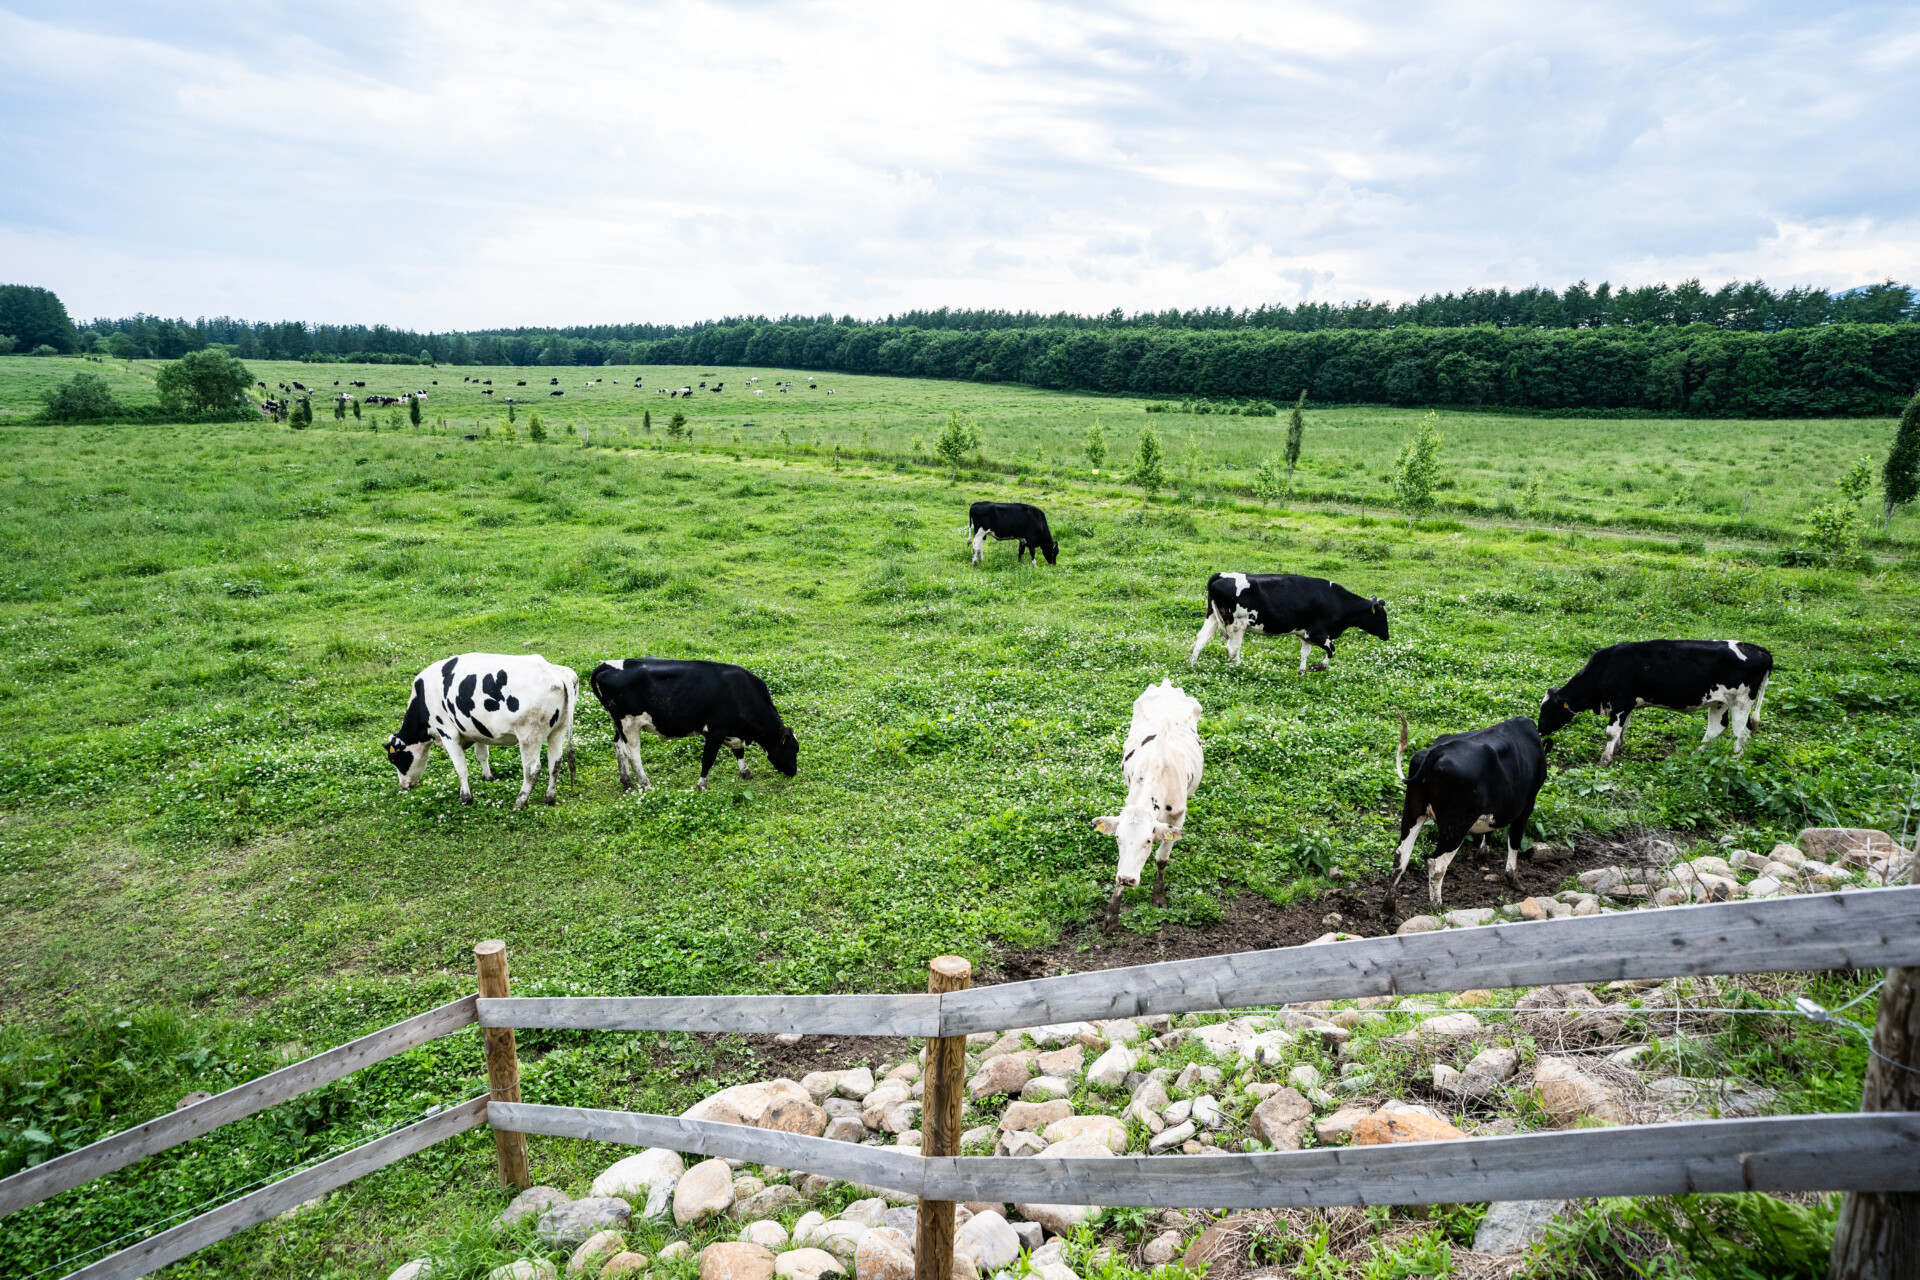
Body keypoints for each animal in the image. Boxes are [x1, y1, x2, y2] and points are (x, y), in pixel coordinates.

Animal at [384, 652, 576, 809]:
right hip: (558, 731)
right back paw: (549, 798)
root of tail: (555, 671)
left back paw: (520, 802)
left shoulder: (447, 733)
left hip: (529, 736)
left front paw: (466, 798)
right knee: (555, 763)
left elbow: (460, 767)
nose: (404, 785)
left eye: (393, 759)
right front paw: (488, 777)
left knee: (532, 770)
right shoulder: (477, 731)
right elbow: (482, 755)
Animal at [583, 660, 794, 790]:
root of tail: (606, 665)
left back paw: (627, 782)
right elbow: (708, 759)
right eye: (793, 750)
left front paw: (746, 773)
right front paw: (702, 785)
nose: (794, 772)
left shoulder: (733, 731)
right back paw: (646, 784)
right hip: (629, 724)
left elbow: (738, 751)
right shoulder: (715, 731)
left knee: (618, 746)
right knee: (633, 754)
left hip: (618, 724)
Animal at [1175, 571, 1390, 671]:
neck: (1337, 601)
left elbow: (1304, 654)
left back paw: (1192, 664)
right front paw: (1318, 667)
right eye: (1382, 616)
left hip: (1212, 616)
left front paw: (1302, 672)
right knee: (1232, 648)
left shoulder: (1306, 634)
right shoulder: (1317, 633)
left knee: (1201, 639)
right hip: (1237, 624)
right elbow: (1332, 651)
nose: (1387, 636)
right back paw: (1239, 668)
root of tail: (1221, 574)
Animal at [1382, 717, 1543, 917]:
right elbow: (1515, 840)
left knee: (1400, 855)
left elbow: (1490, 829)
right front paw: (1513, 879)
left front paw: (1483, 853)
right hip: (1457, 823)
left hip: (1413, 810)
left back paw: (1389, 906)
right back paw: (1437, 907)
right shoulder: (1528, 803)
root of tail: (1436, 752)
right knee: (1436, 864)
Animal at [1536, 637, 1774, 767]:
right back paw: (1697, 754)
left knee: (1741, 734)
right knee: (1717, 728)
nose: (1539, 729)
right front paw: (1619, 748)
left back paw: (1734, 761)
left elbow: (1611, 732)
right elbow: (1624, 728)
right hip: (1719, 701)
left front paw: (1605, 759)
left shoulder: (1620, 702)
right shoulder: (1627, 704)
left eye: (1547, 710)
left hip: (1741, 703)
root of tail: (1759, 649)